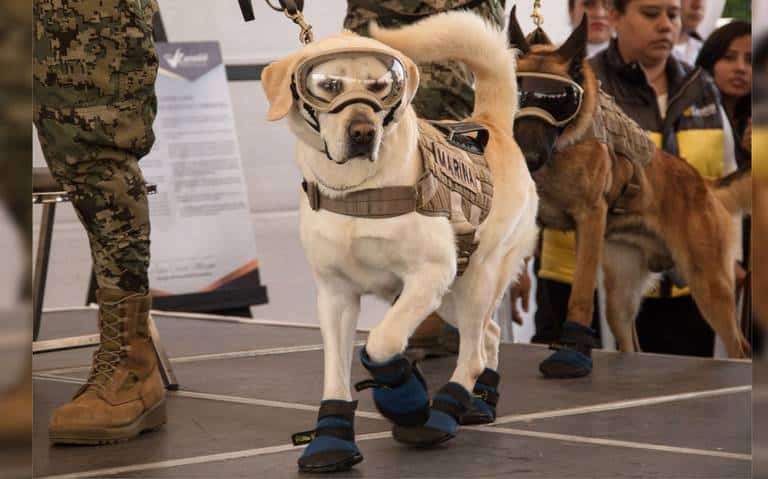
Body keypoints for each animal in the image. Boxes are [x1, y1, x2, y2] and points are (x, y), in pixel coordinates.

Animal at [508, 8, 752, 378]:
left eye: (559, 100)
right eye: (519, 94)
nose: (529, 157)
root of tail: (705, 185)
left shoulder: (589, 221)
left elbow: (580, 294)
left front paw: (572, 351)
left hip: (711, 286)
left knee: (740, 347)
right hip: (620, 298)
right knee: (632, 344)